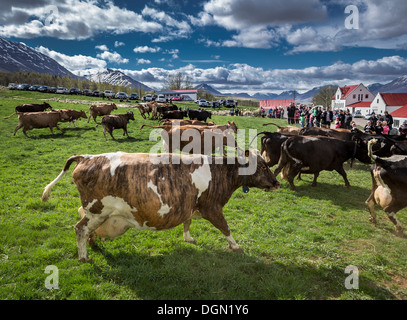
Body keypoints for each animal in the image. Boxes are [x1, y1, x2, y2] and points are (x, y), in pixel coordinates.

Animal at [42, 149, 280, 262]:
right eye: (263, 166)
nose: (277, 183)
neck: (221, 171)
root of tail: (87, 157)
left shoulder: (189, 205)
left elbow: (187, 222)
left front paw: (188, 238)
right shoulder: (211, 207)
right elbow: (225, 227)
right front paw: (236, 247)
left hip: (97, 213)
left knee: (86, 229)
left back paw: (92, 244)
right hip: (95, 210)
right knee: (79, 228)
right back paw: (83, 257)